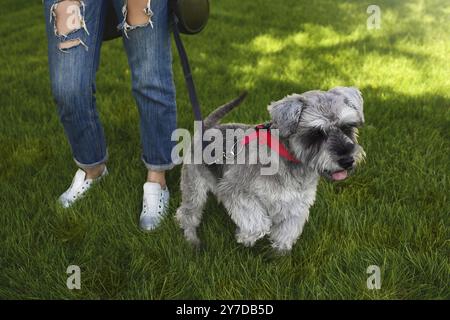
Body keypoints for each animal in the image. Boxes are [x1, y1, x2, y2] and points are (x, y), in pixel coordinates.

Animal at [176, 87, 366, 252]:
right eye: (316, 133)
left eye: (347, 127)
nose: (347, 160)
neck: (290, 162)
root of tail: (206, 128)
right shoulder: (235, 190)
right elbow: (258, 223)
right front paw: (244, 237)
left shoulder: (296, 203)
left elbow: (287, 232)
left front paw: (278, 255)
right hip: (194, 188)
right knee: (187, 214)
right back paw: (192, 241)